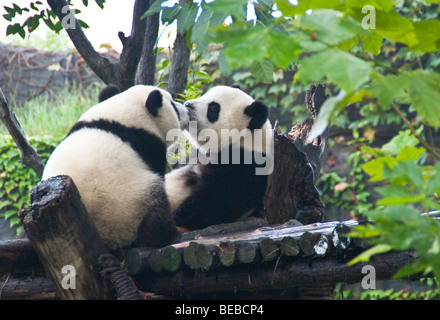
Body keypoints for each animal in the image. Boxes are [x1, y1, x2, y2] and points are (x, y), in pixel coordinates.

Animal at [43, 85, 189, 250]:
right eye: (173, 105)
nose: (185, 110)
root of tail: (107, 240)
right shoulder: (149, 146)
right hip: (134, 204)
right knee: (156, 211)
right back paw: (170, 235)